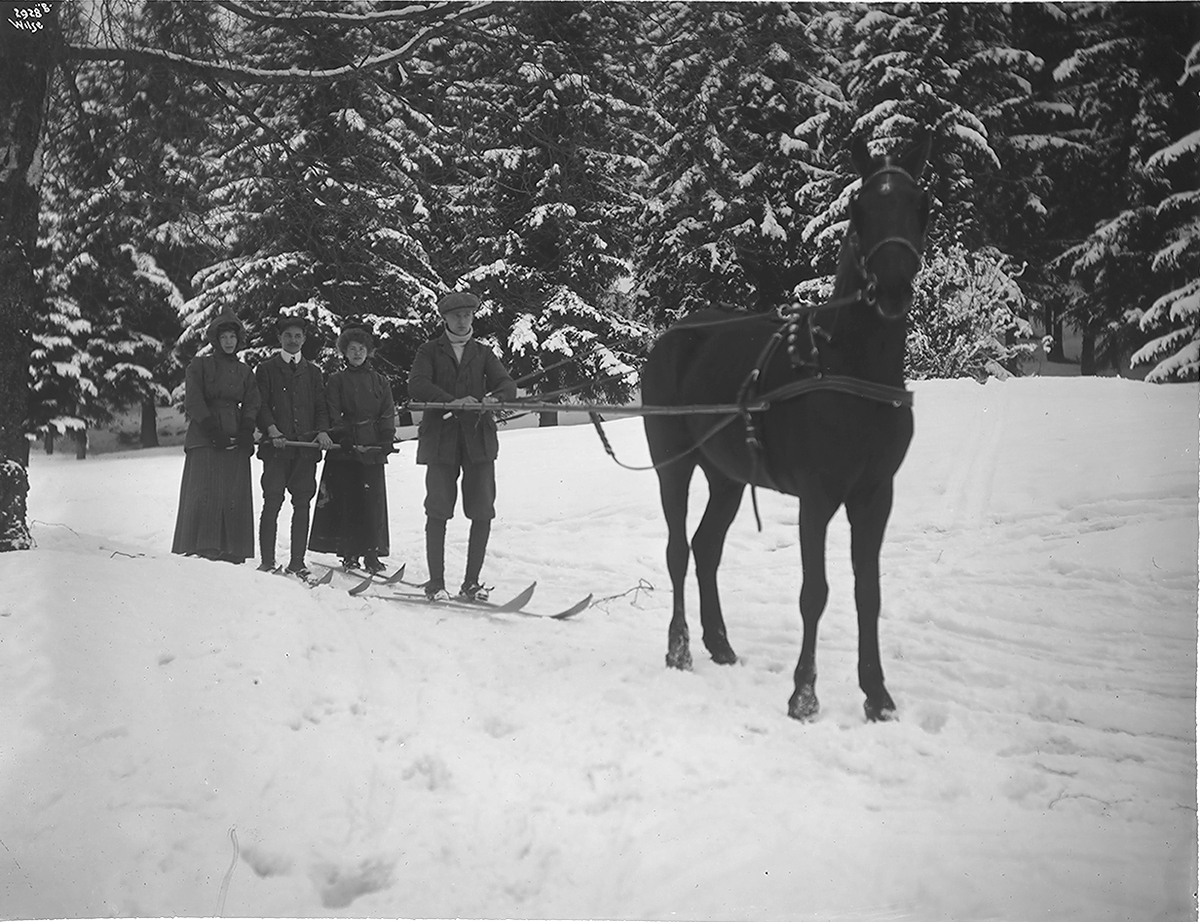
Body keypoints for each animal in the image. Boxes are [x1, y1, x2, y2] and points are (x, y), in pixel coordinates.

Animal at [643, 133, 931, 725]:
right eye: (859, 207)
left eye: (923, 206)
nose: (892, 286)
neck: (850, 368)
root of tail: (672, 337)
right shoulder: (816, 496)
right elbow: (814, 591)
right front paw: (804, 695)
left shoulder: (875, 495)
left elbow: (868, 592)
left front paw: (877, 696)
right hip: (673, 467)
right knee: (679, 550)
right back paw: (680, 648)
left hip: (727, 477)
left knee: (706, 548)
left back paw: (720, 643)